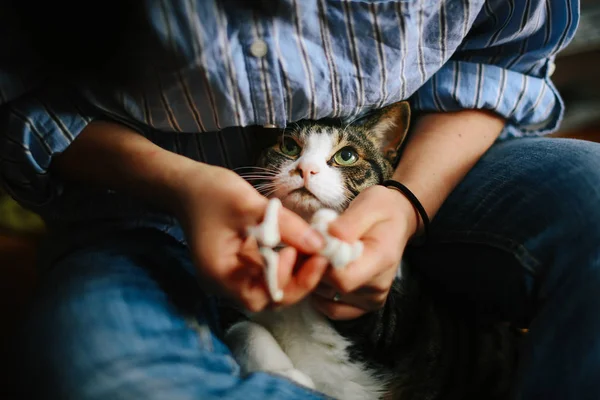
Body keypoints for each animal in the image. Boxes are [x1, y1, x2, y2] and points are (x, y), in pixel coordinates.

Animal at [223, 102, 524, 400]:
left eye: (346, 156)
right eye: (289, 147)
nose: (306, 169)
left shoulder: (389, 324)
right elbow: (241, 328)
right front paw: (284, 373)